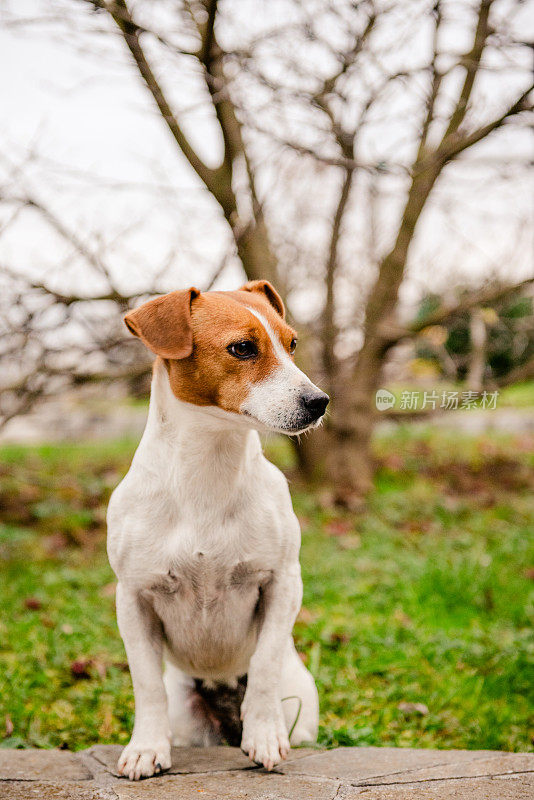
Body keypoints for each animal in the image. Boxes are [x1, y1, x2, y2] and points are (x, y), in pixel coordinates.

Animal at [107, 282, 328, 780]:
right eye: (243, 348)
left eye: (292, 344)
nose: (320, 401)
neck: (208, 468)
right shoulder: (133, 597)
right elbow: (145, 683)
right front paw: (146, 748)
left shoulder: (283, 582)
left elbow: (264, 663)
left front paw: (264, 735)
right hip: (188, 717)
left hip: (301, 705)